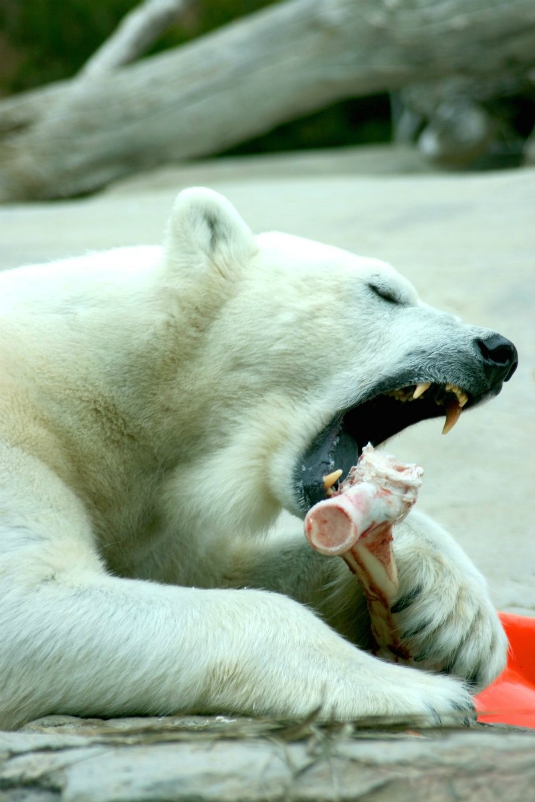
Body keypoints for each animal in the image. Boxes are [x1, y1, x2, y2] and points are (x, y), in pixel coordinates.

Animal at [0, 187, 517, 731]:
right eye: (383, 292)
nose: (499, 349)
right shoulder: (20, 441)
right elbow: (30, 599)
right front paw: (425, 692)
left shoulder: (159, 512)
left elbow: (220, 570)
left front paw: (459, 621)